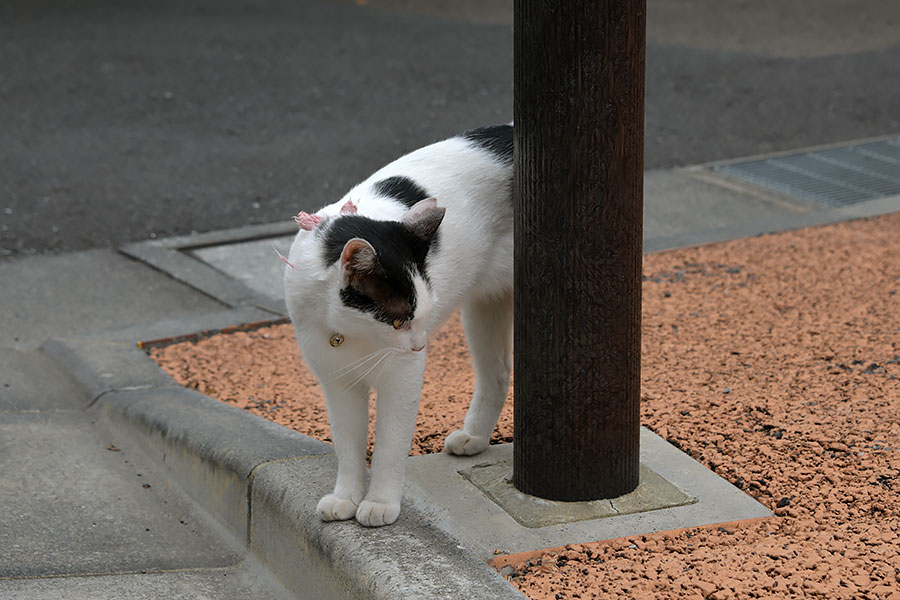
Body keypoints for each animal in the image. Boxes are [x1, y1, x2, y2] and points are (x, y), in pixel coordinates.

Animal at [284, 125, 516, 524]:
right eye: (399, 320)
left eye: (419, 316)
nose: (420, 345)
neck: (353, 333)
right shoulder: (337, 382)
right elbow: (347, 443)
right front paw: (346, 497)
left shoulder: (401, 380)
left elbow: (390, 445)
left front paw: (379, 503)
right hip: (484, 309)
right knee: (498, 373)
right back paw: (474, 438)